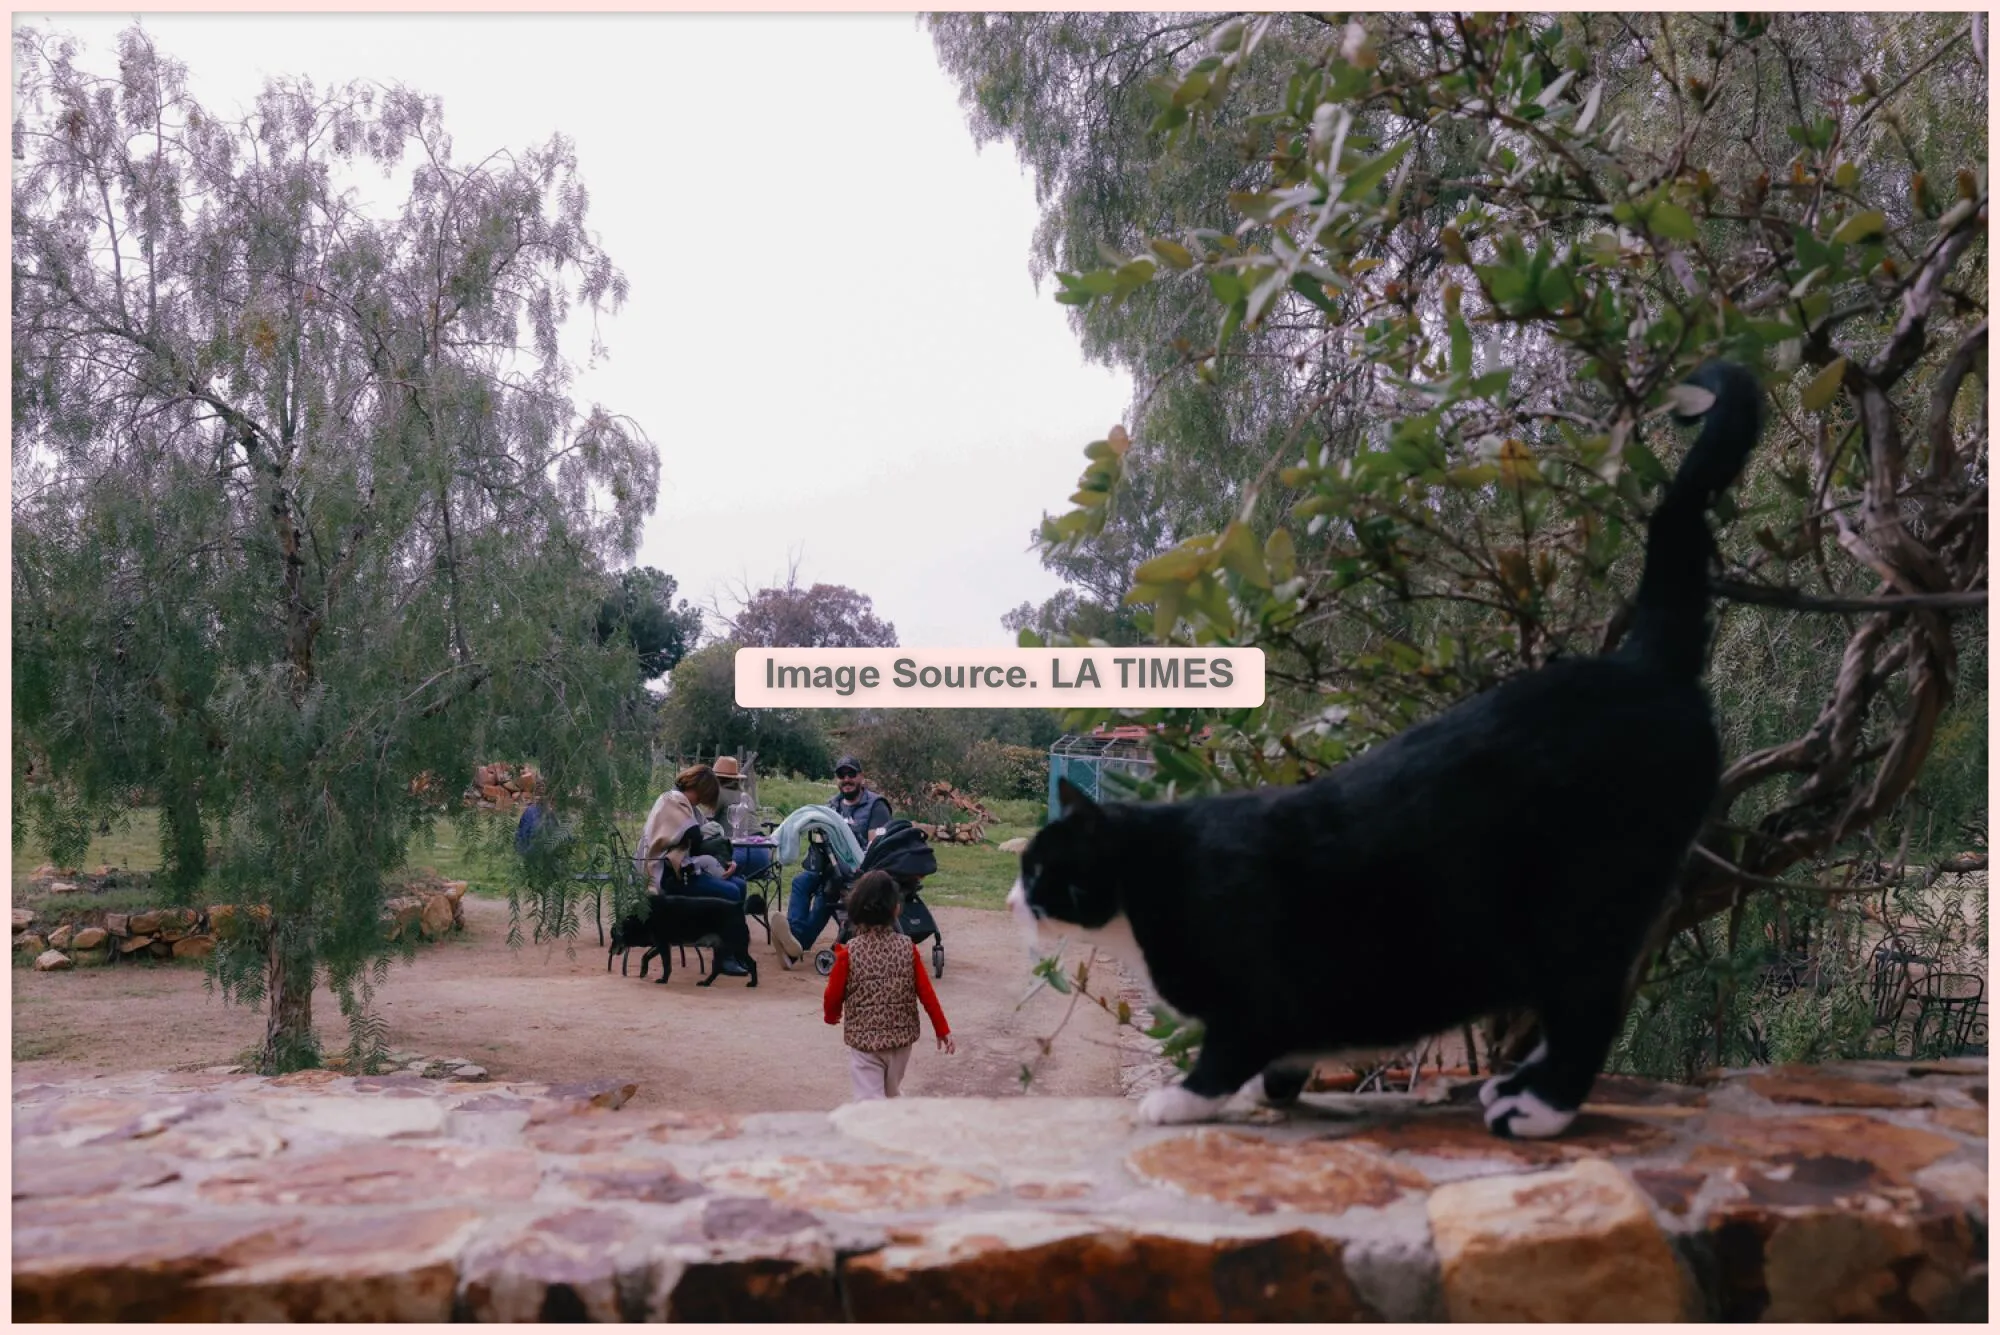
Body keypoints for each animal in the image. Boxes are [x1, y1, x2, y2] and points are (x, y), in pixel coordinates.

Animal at [604, 891, 752, 987]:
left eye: (614, 937)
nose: (609, 951)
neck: (643, 917)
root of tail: (737, 905)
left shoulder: (663, 945)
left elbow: (666, 964)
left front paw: (664, 980)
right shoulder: (661, 944)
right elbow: (645, 956)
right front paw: (643, 971)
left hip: (736, 947)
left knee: (751, 964)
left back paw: (752, 983)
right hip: (725, 949)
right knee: (721, 968)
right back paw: (707, 983)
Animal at [1016, 361, 1768, 1135]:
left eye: (1040, 868)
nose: (1017, 895)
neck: (1149, 878)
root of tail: (1642, 662)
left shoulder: (1255, 986)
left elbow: (1231, 1046)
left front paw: (1179, 1100)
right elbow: (1282, 1057)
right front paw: (1266, 1093)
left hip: (1584, 900)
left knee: (1587, 1007)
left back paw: (1537, 1106)